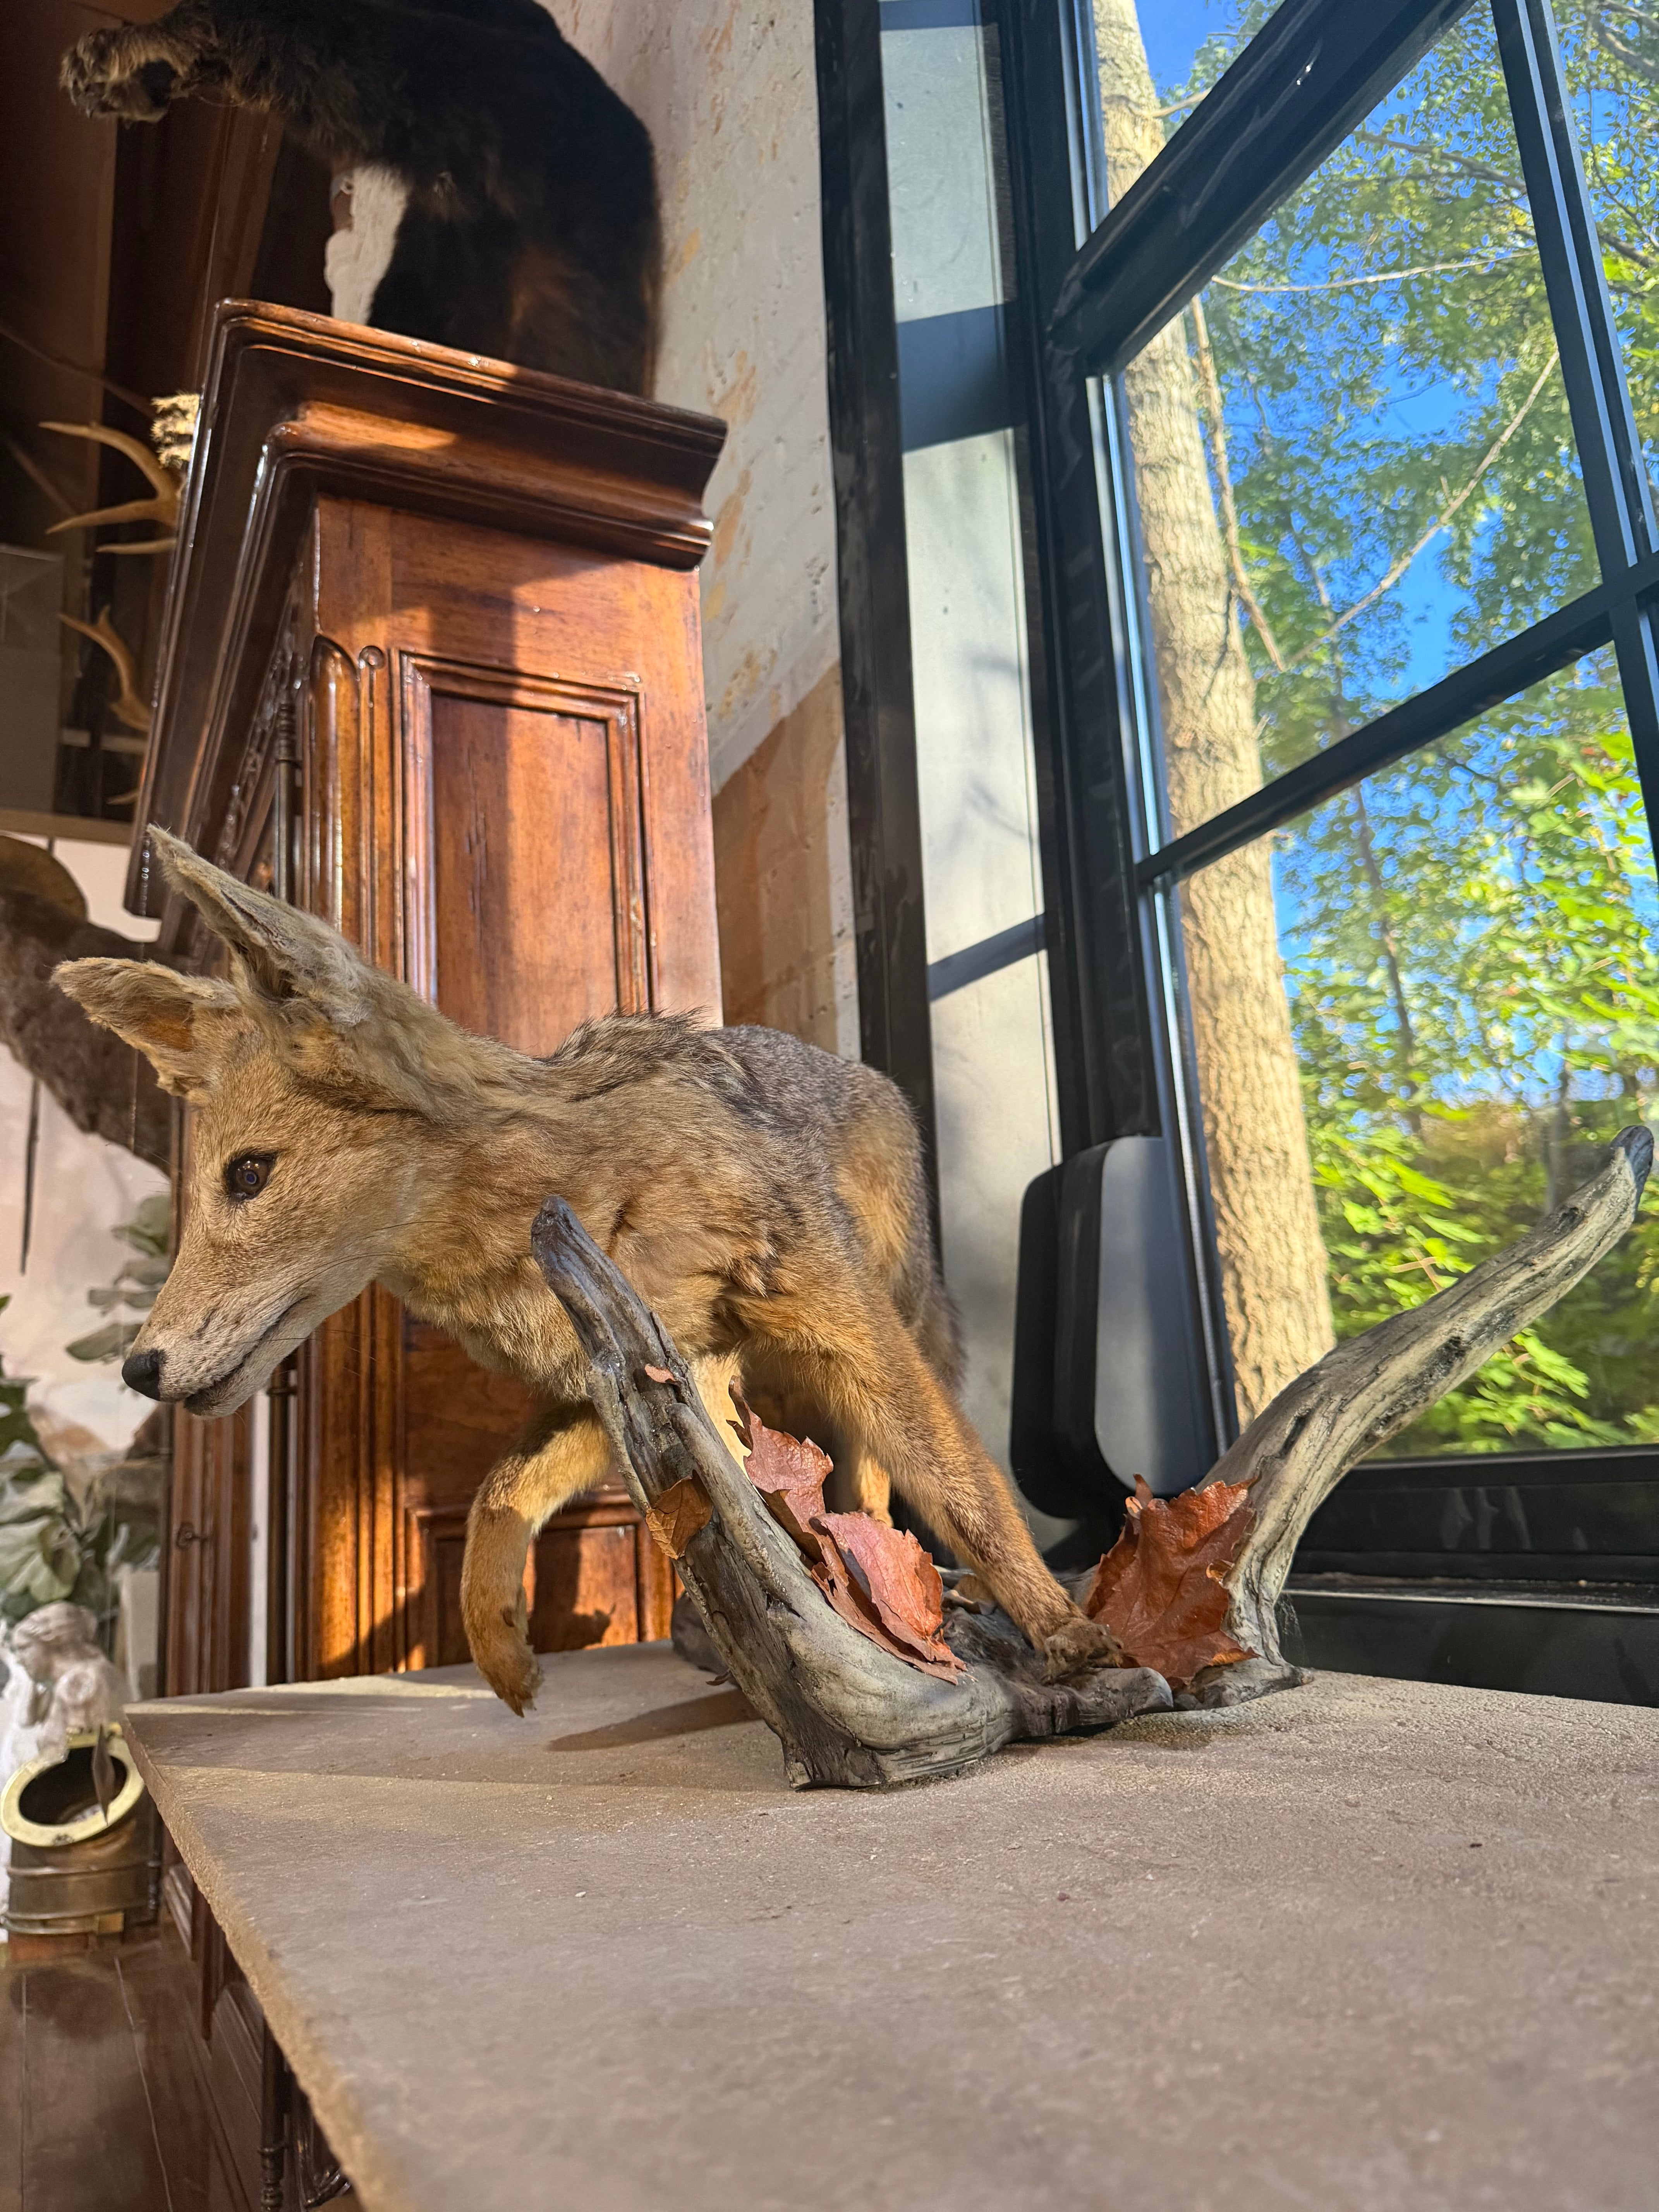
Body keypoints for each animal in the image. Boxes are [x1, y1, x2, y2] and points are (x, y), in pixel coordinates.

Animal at [54, 831, 1118, 1712]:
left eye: (248, 1177)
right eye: (213, 1191)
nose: (138, 1370)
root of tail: (860, 1070)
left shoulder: (844, 1336)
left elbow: (971, 1494)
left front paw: (1062, 1629)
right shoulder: (628, 1381)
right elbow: (500, 1496)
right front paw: (502, 1655)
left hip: (886, 1330)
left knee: (872, 1484)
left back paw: (892, 1592)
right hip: (726, 1386)